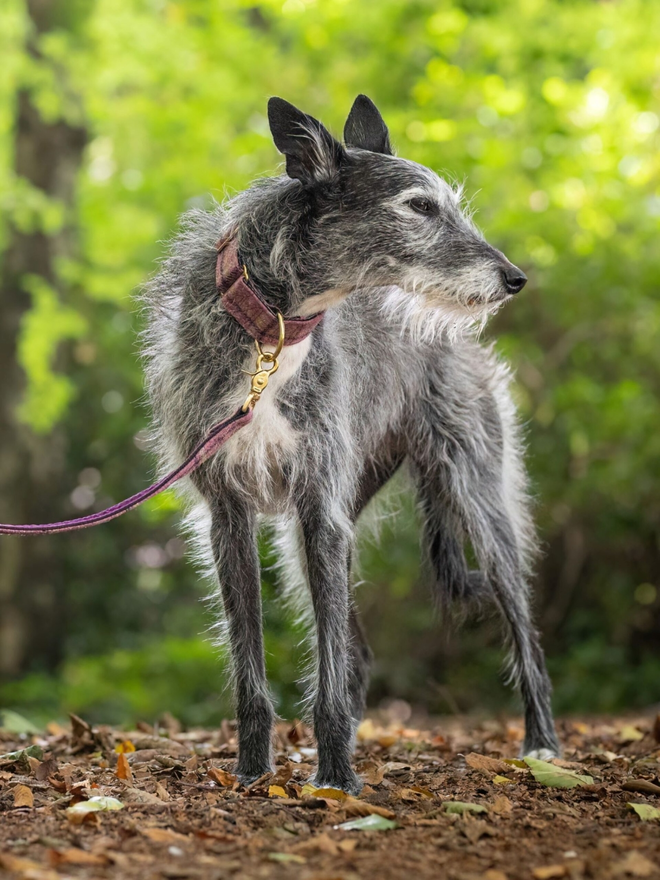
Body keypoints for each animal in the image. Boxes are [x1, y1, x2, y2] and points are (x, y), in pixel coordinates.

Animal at [142, 94, 560, 792]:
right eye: (420, 206)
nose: (514, 278)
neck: (274, 332)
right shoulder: (231, 514)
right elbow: (251, 667)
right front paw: (254, 773)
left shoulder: (321, 511)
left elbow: (329, 671)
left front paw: (337, 780)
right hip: (305, 535)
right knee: (357, 651)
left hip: (478, 499)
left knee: (524, 636)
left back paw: (543, 744)